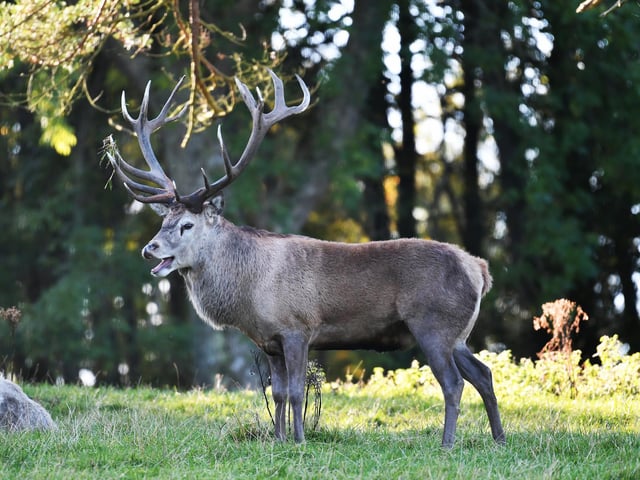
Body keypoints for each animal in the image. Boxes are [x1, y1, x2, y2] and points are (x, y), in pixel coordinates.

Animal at [105, 69, 505, 448]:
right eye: (163, 222)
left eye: (187, 225)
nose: (150, 248)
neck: (249, 293)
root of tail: (480, 270)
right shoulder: (268, 341)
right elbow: (279, 393)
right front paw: (278, 439)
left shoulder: (297, 327)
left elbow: (298, 392)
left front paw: (298, 440)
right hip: (457, 334)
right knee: (483, 374)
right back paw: (499, 439)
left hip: (432, 323)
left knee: (453, 383)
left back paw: (447, 443)